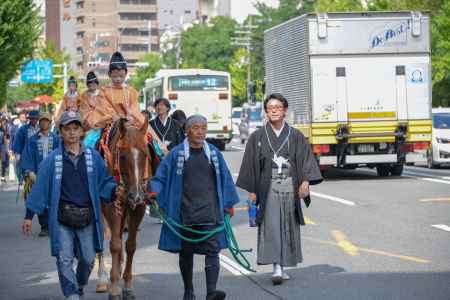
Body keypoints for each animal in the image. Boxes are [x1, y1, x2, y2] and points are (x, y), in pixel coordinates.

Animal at [96, 116, 160, 300]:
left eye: (145, 154)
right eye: (123, 156)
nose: (136, 195)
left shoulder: (137, 208)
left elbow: (130, 245)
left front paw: (128, 286)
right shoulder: (111, 206)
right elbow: (115, 245)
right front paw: (114, 287)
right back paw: (103, 279)